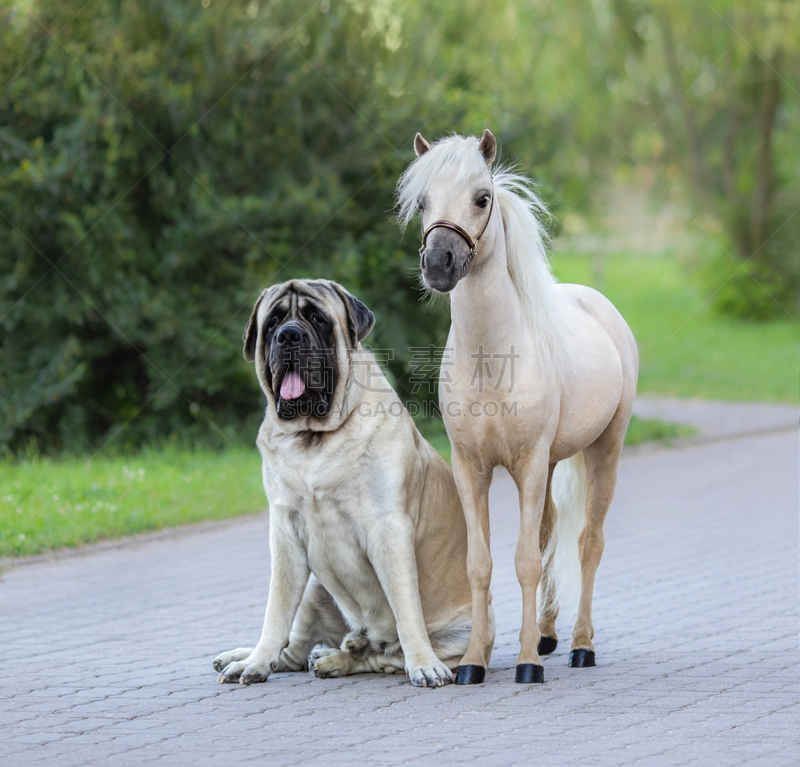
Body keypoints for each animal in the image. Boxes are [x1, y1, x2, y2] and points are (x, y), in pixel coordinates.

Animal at [212, 280, 490, 688]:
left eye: (317, 319)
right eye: (272, 322)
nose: (289, 335)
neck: (314, 439)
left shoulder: (388, 529)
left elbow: (407, 608)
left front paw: (424, 664)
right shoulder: (286, 534)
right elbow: (275, 610)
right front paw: (257, 662)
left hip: (467, 632)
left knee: (382, 657)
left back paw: (342, 656)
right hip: (314, 590)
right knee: (294, 651)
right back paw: (262, 656)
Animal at [398, 129, 636, 688]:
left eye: (482, 198)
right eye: (422, 202)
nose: (439, 264)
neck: (493, 363)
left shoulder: (527, 463)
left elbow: (526, 559)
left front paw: (527, 664)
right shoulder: (473, 468)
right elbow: (480, 563)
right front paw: (474, 663)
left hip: (605, 450)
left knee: (587, 542)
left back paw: (579, 646)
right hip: (550, 466)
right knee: (550, 531)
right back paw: (547, 634)